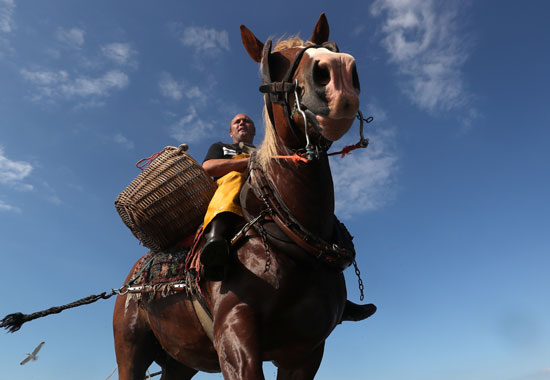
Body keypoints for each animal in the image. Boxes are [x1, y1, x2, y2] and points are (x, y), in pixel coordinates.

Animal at [113, 13, 366, 378]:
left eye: (328, 47)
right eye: (273, 63)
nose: (337, 72)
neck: (290, 236)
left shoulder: (307, 352)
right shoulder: (234, 332)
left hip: (180, 359)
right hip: (131, 349)